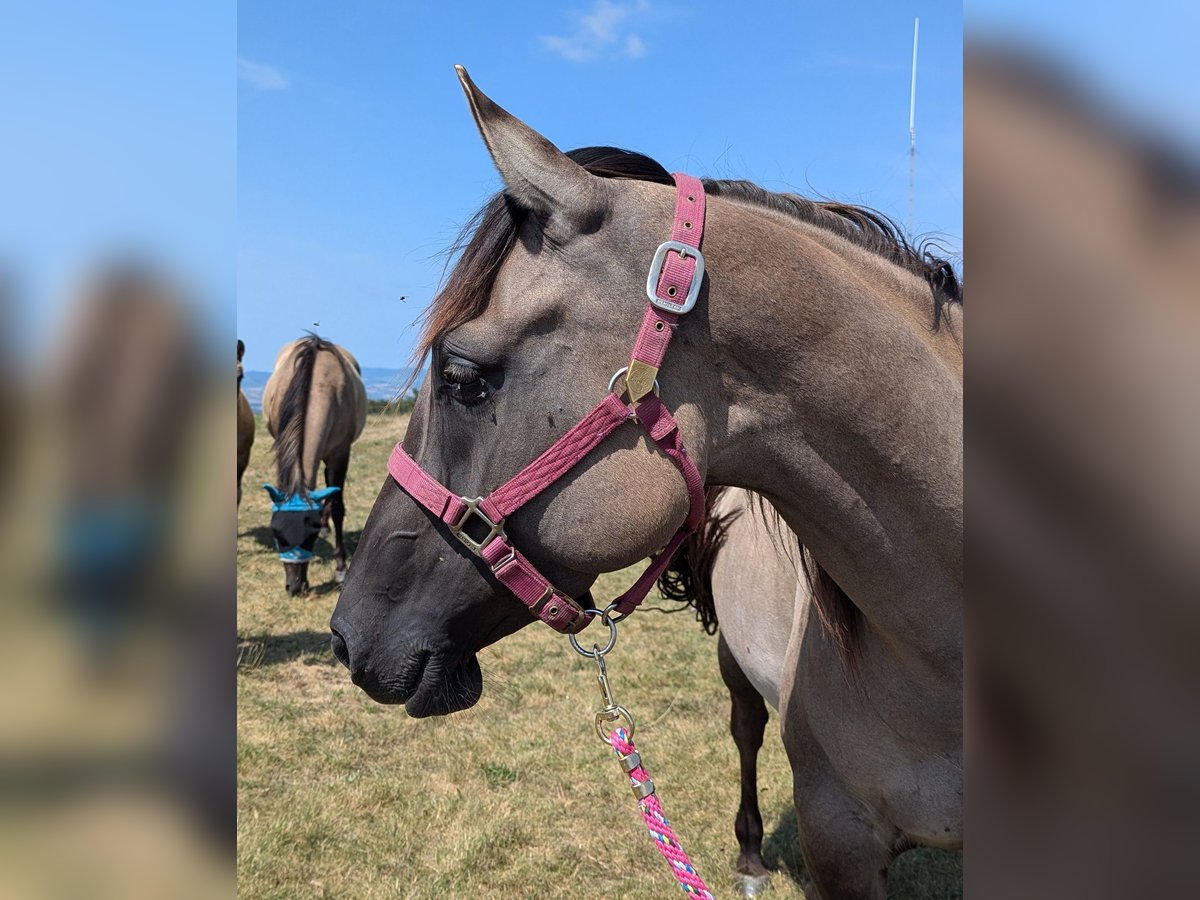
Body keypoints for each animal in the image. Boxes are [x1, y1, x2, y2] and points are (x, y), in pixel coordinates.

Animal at [265, 336, 367, 595]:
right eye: (277, 534)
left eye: (309, 537)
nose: (294, 586)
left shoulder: (340, 454)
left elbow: (338, 506)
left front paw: (341, 568)